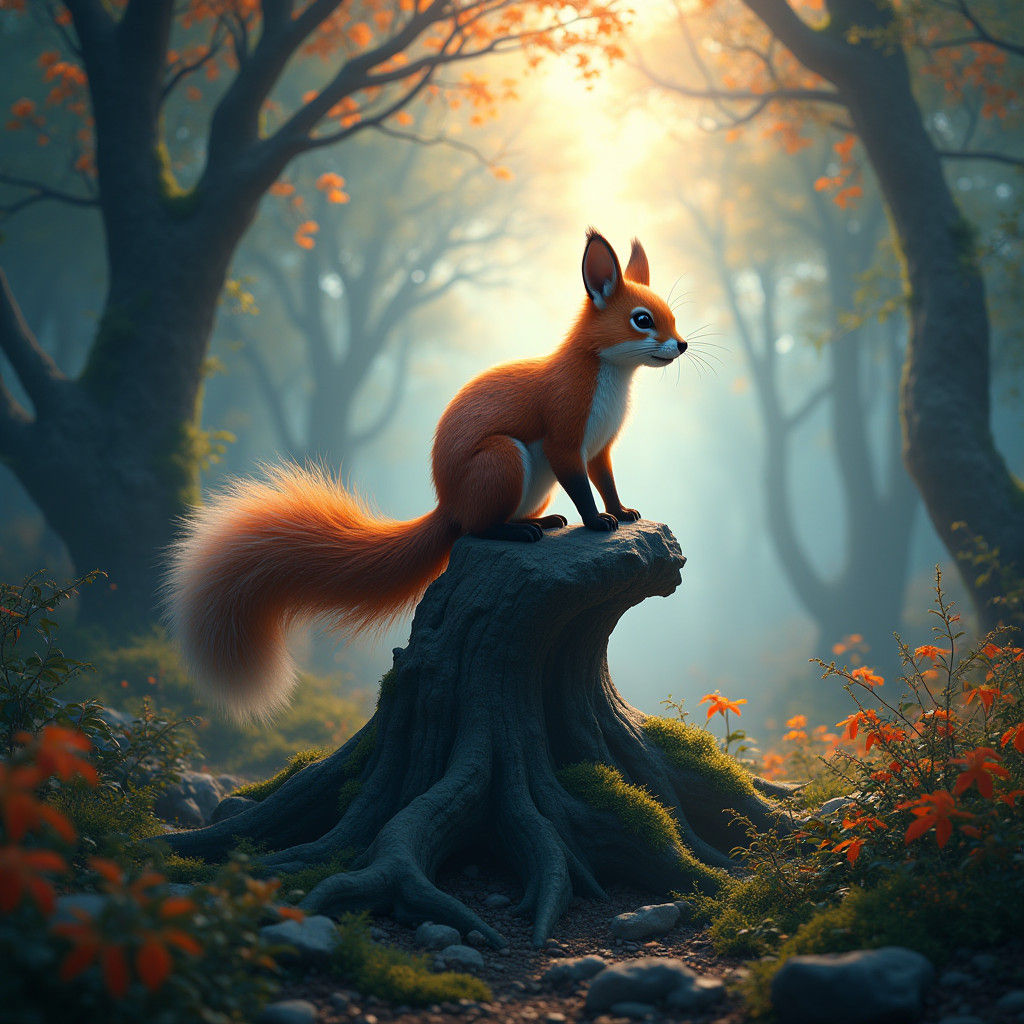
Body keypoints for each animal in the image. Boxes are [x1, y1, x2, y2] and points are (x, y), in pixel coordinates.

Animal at [167, 230, 688, 720]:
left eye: (671, 315)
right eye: (642, 319)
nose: (682, 344)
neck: (608, 384)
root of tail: (447, 504)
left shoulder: (599, 449)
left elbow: (607, 483)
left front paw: (621, 511)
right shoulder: (565, 442)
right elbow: (582, 489)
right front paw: (597, 522)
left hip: (532, 484)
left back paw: (540, 522)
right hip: (504, 458)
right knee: (476, 528)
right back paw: (517, 532)